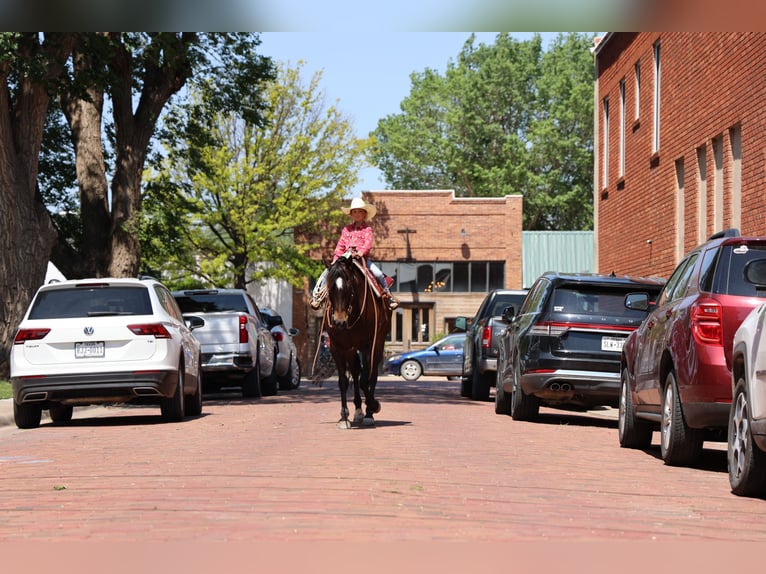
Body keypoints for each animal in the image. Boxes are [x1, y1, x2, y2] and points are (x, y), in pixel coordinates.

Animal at [324, 254, 392, 430]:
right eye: (330, 288)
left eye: (348, 288)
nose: (339, 321)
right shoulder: (338, 347)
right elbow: (343, 381)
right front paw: (344, 417)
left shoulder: (367, 345)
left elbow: (365, 380)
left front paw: (373, 406)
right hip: (351, 348)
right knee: (355, 372)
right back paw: (358, 411)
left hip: (378, 343)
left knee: (371, 375)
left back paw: (367, 413)